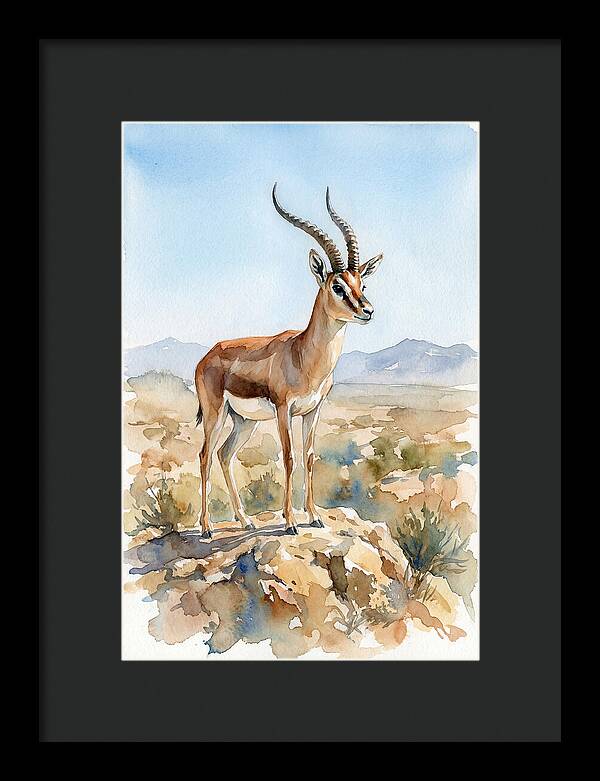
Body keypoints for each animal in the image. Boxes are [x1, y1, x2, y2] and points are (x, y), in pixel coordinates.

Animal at [194, 184, 383, 538]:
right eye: (337, 286)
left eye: (361, 283)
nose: (367, 310)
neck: (303, 355)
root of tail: (208, 355)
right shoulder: (284, 409)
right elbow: (289, 458)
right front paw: (291, 522)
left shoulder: (313, 410)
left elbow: (309, 457)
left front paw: (315, 516)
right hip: (216, 413)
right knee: (205, 455)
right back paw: (207, 528)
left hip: (245, 421)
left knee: (225, 455)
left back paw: (245, 520)